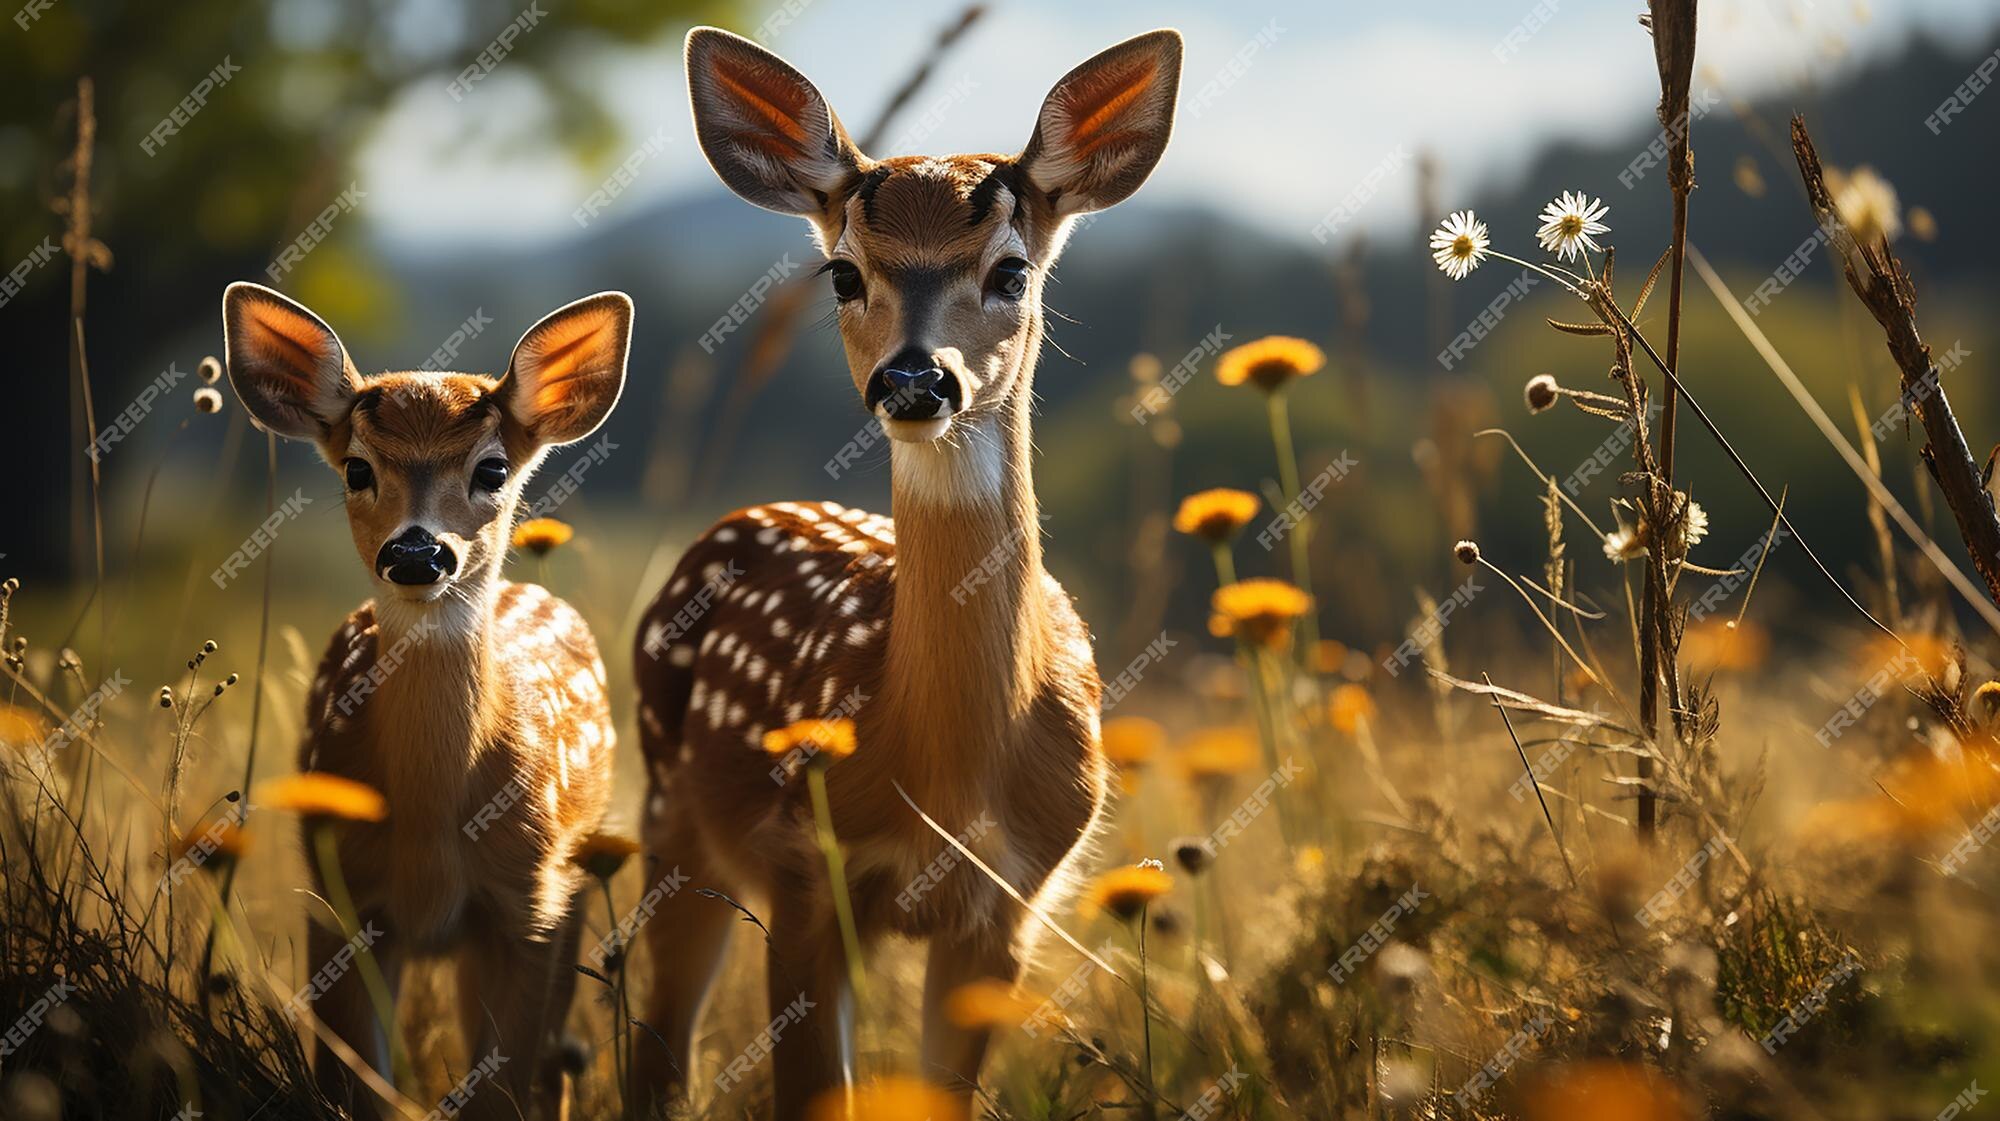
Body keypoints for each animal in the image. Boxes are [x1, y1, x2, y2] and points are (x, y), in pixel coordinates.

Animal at [220, 282, 628, 1121]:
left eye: (493, 469)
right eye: (356, 468)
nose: (416, 551)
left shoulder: (527, 895)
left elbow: (501, 1086)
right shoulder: (341, 889)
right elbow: (355, 1085)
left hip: (577, 876)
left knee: (549, 1064)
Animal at [632, 21, 1176, 1112]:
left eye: (1011, 271)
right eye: (844, 274)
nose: (916, 379)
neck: (946, 770)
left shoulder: (1007, 902)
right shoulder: (807, 869)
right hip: (671, 811)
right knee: (653, 1051)